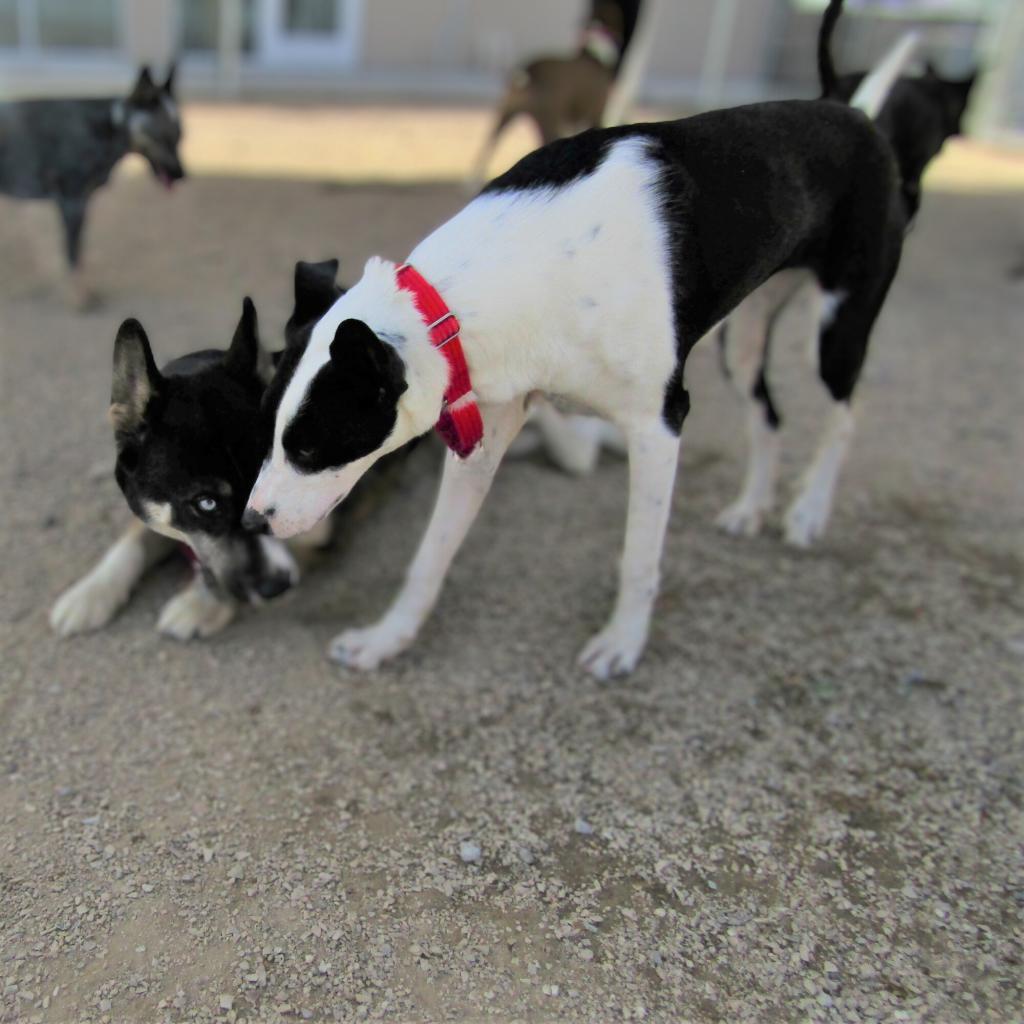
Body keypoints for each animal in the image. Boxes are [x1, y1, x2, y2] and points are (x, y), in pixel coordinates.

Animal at [1, 66, 184, 307]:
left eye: (180, 136)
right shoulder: (72, 204)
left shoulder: (82, 205)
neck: (108, 126)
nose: (182, 175)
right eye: (160, 137)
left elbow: (81, 254)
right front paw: (79, 297)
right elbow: (73, 254)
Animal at [245, 14, 913, 679]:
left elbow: (639, 557)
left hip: (837, 332)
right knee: (768, 415)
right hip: (743, 344)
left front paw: (623, 642)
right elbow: (431, 554)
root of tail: (850, 111)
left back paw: (808, 512)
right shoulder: (484, 436)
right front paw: (388, 638)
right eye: (266, 433)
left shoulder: (658, 426)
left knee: (845, 416)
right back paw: (753, 506)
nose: (252, 520)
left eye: (311, 447)